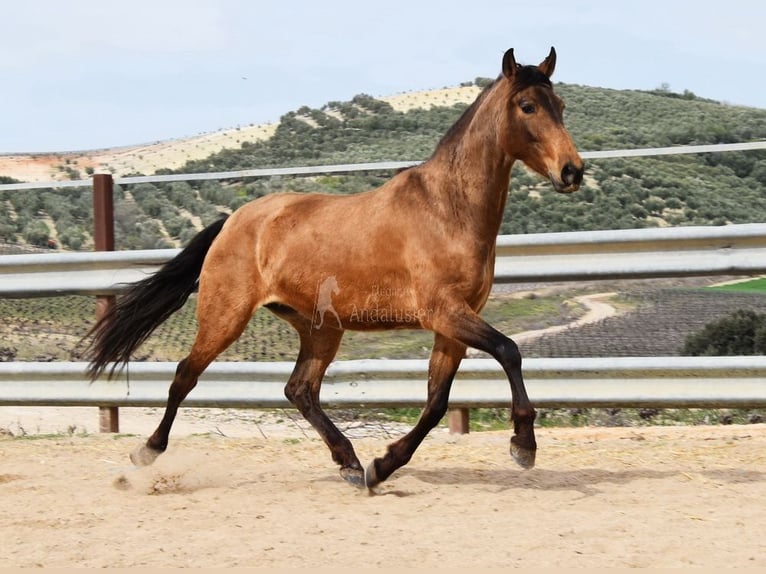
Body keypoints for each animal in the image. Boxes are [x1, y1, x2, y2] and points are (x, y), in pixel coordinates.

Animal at [84, 47, 584, 492]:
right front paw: (523, 445)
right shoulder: (444, 312)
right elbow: (508, 351)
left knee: (299, 390)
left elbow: (436, 402)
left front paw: (382, 467)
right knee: (186, 375)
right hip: (225, 316)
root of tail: (235, 219)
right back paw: (146, 452)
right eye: (527, 106)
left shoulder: (453, 325)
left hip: (320, 327)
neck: (448, 208)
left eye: (560, 106)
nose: (572, 171)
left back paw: (349, 463)